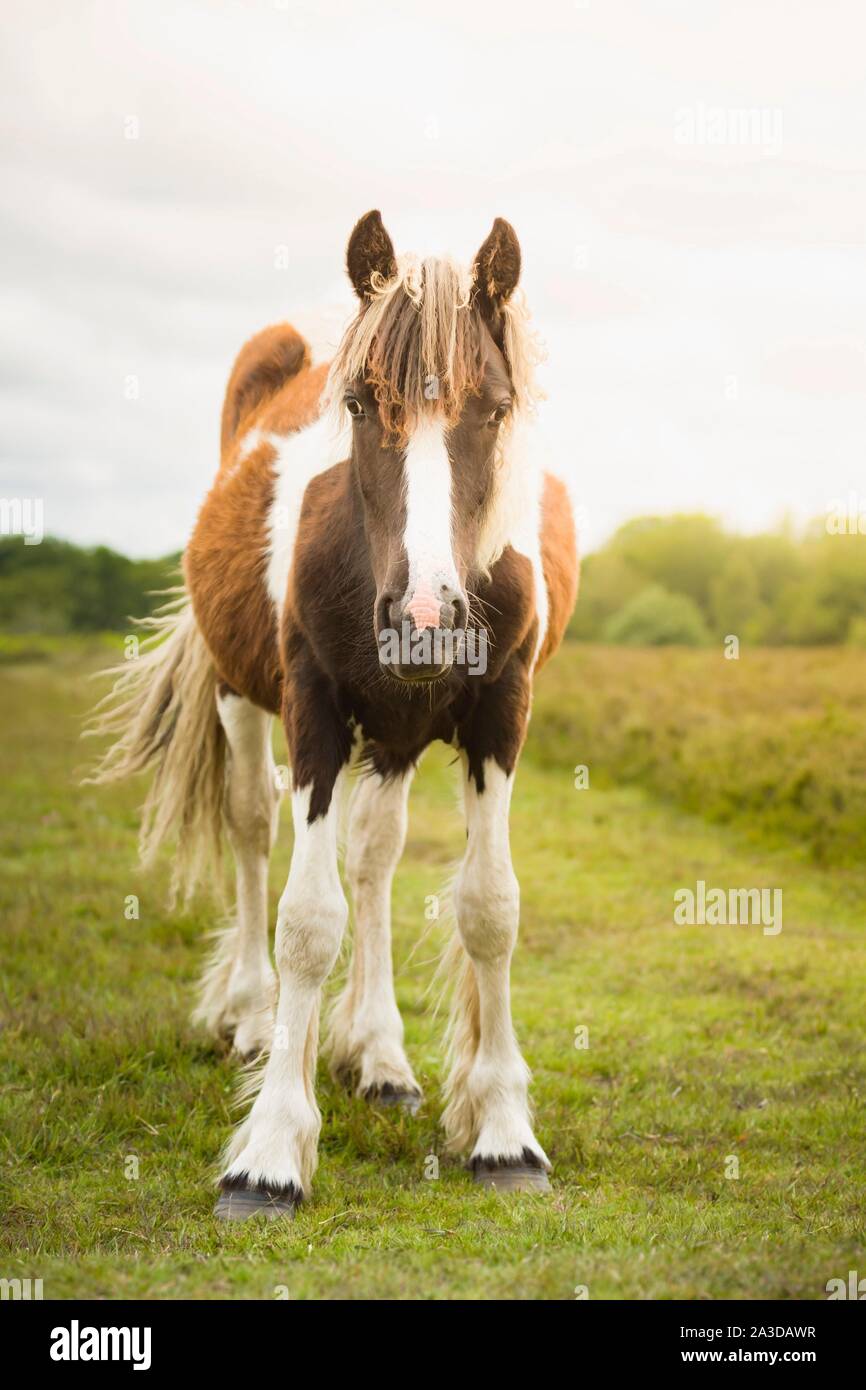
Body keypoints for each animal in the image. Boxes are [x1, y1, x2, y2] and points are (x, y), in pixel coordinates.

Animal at [91, 211, 578, 1223]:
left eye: (494, 408)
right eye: (357, 405)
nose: (426, 621)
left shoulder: (502, 714)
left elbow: (489, 907)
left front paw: (503, 1133)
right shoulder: (312, 708)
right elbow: (306, 919)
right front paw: (270, 1153)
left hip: (393, 735)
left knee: (373, 859)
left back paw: (380, 1056)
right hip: (244, 700)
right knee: (250, 831)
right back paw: (249, 1015)